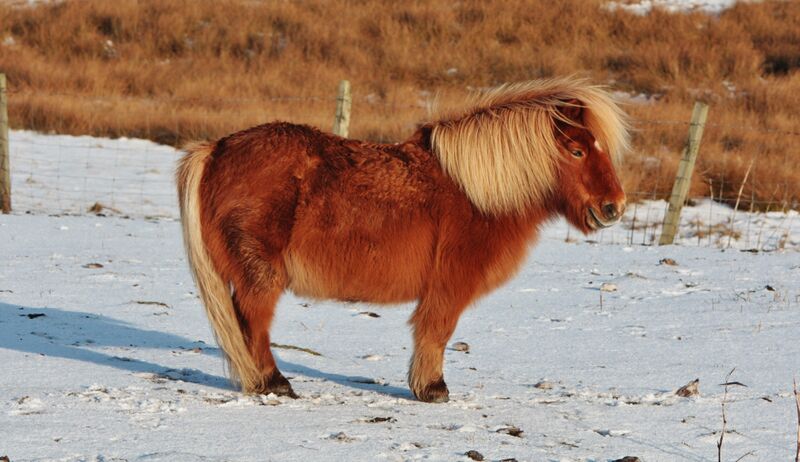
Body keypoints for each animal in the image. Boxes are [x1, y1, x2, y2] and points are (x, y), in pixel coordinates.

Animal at [176, 76, 629, 403]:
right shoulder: (449, 286)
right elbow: (437, 332)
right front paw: (432, 389)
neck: (474, 192)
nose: (614, 207)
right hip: (261, 276)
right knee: (253, 323)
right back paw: (273, 382)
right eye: (576, 151)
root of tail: (215, 149)